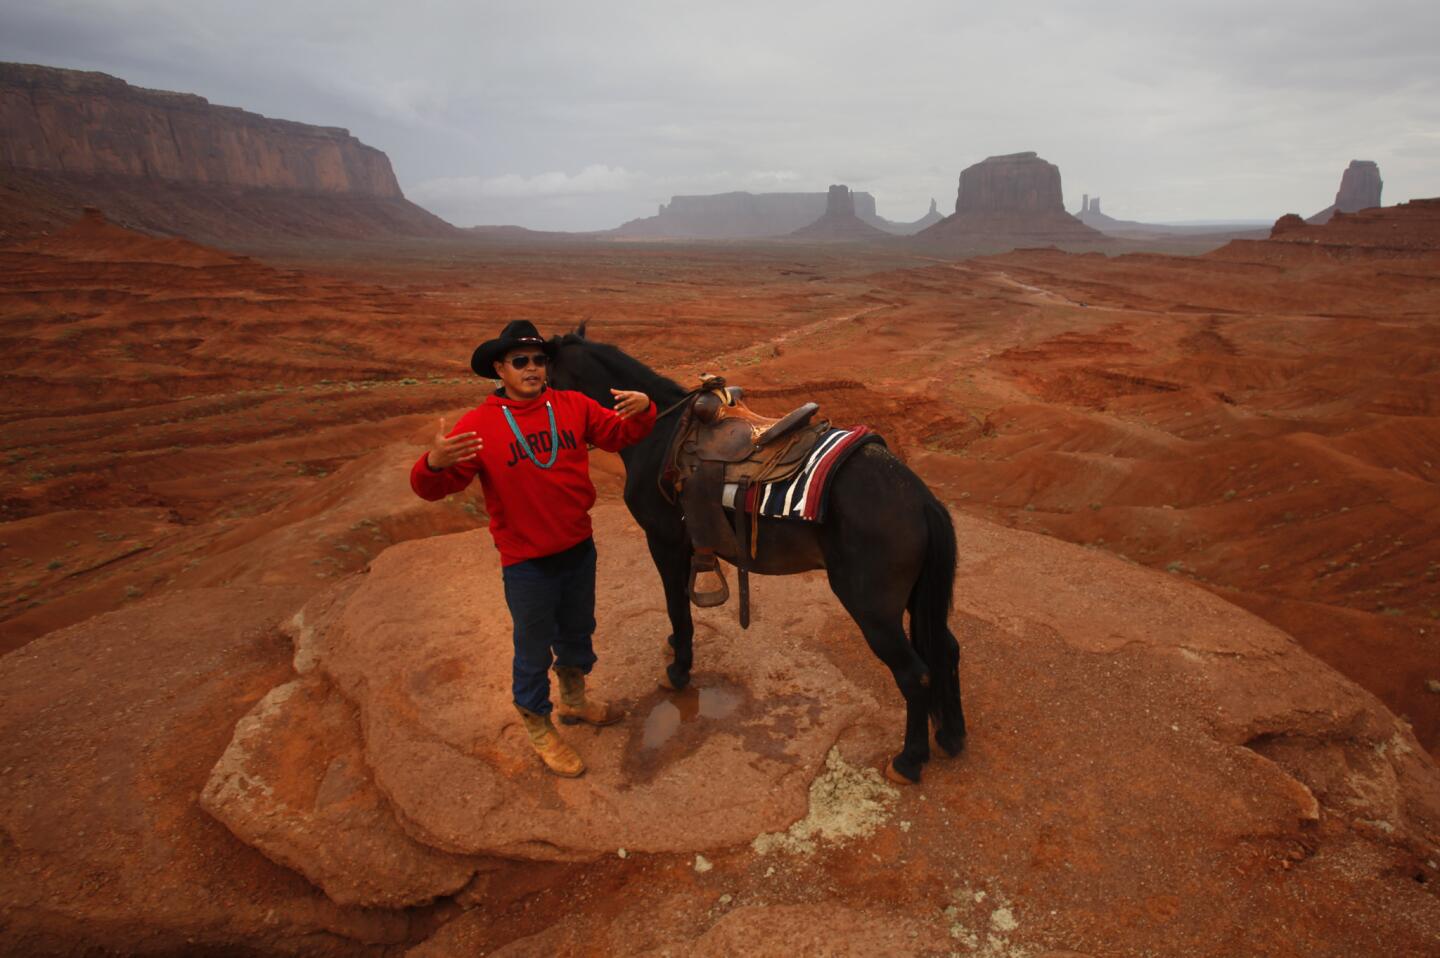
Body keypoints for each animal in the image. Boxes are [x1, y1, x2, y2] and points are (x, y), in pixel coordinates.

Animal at [550, 325, 967, 783]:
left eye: (542, 378)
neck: (657, 436)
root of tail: (923, 501)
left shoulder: (663, 541)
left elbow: (676, 604)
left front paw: (679, 670)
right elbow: (679, 608)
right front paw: (675, 647)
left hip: (872, 607)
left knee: (916, 674)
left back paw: (909, 760)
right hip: (913, 596)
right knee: (946, 649)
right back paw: (951, 735)